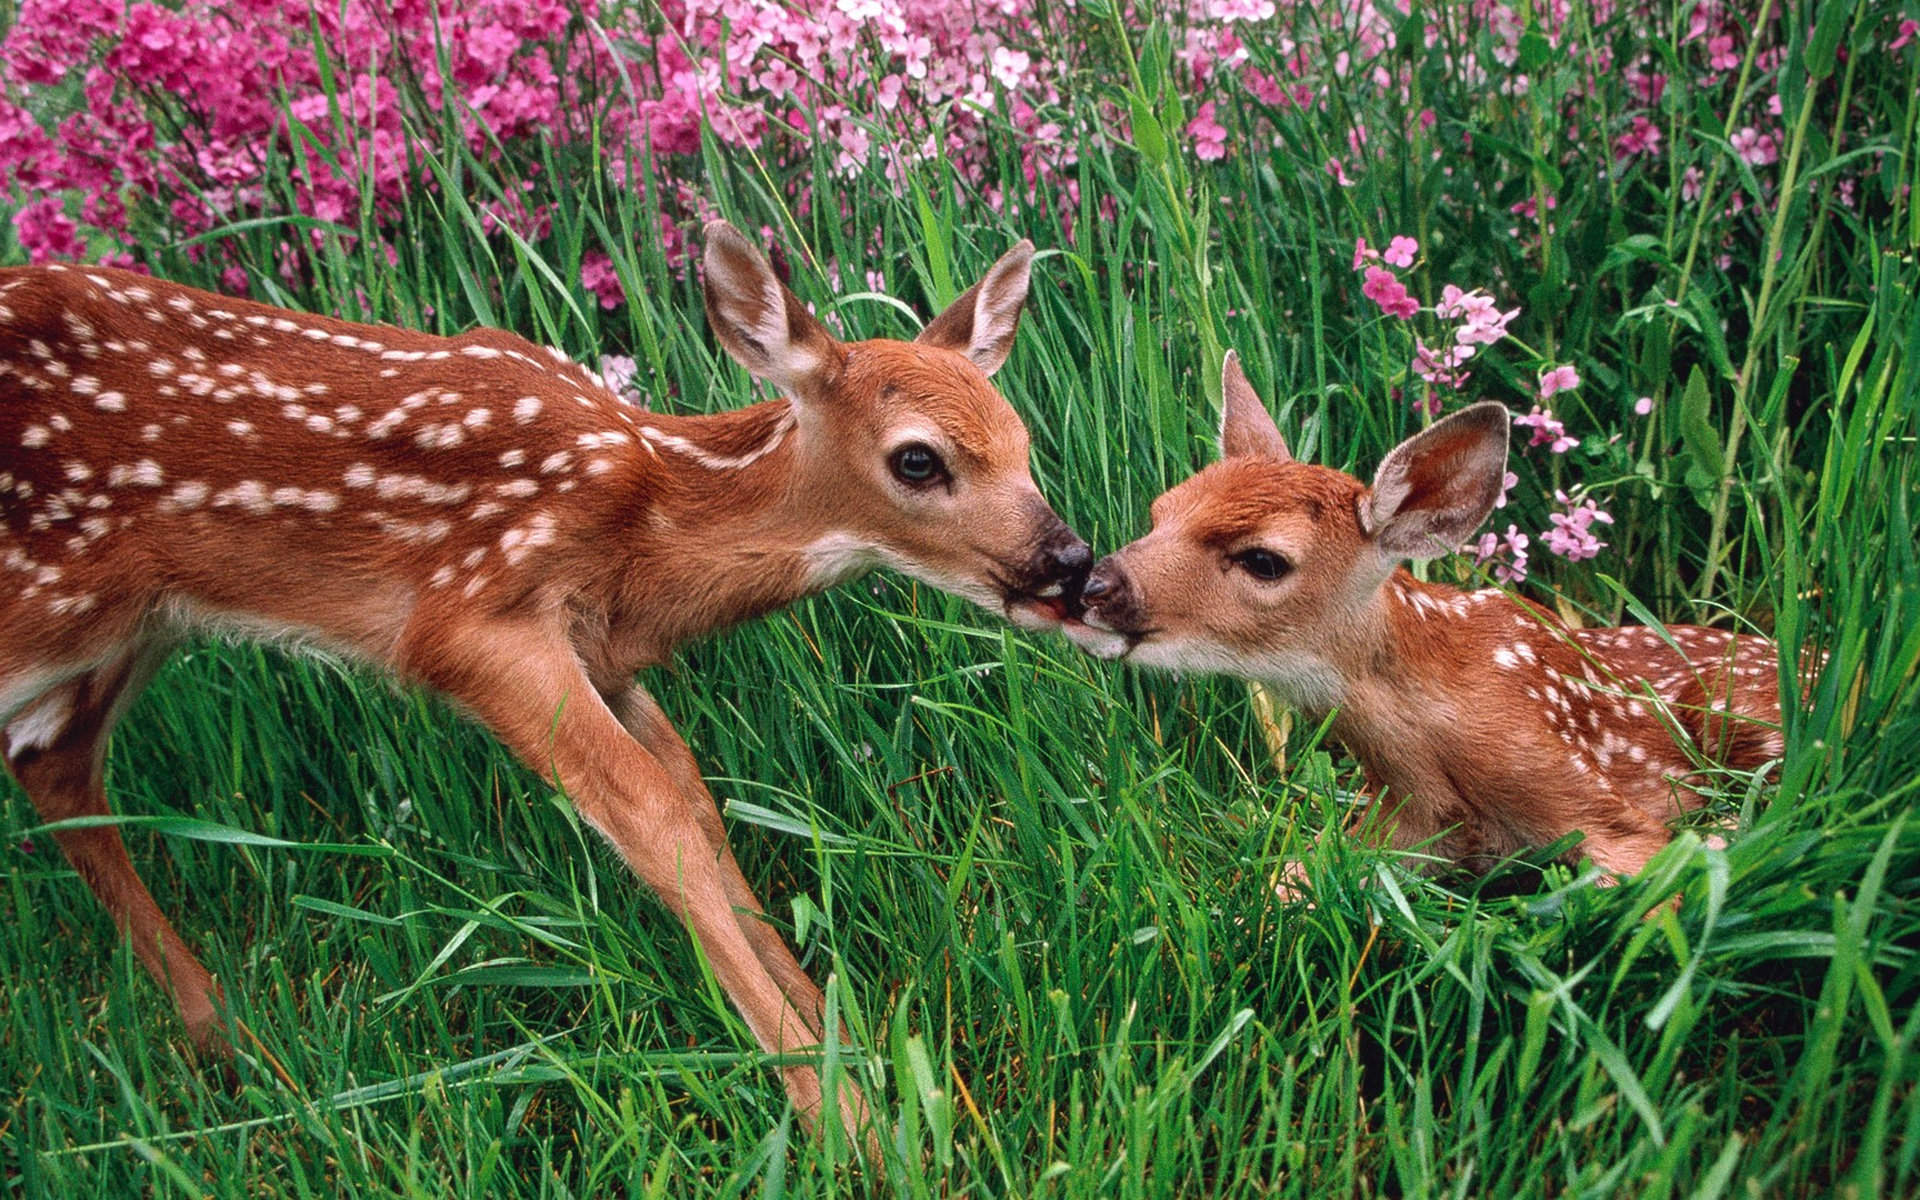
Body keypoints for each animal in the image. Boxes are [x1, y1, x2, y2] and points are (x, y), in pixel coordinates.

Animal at [0, 222, 1093, 1152]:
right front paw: (853, 1126)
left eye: (1021, 439)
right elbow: (649, 811)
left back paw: (232, 1042)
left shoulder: (600, 653)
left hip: (130, 623)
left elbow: (692, 794)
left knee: (52, 759)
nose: (1071, 562)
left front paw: (856, 1053)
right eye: (918, 460)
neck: (642, 527)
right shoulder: (470, 620)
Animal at [1064, 351, 1789, 886]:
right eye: (1161, 511)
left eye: (1264, 560)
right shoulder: (1401, 827)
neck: (1428, 749)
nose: (1095, 583)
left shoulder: (1593, 795)